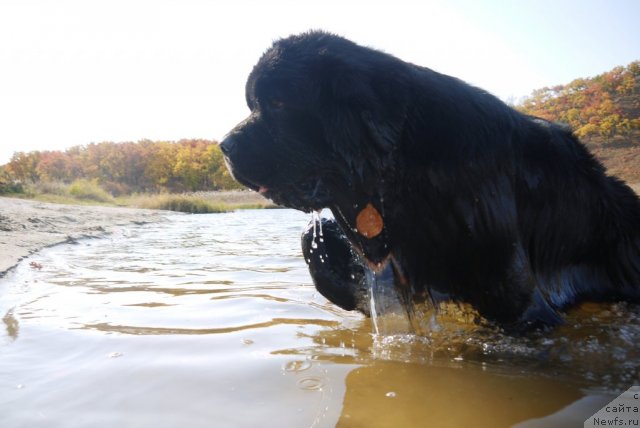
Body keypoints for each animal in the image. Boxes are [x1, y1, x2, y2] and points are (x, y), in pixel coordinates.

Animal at [221, 30, 640, 332]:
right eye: (253, 104)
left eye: (278, 104)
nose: (224, 146)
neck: (405, 168)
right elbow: (316, 241)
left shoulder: (513, 294)